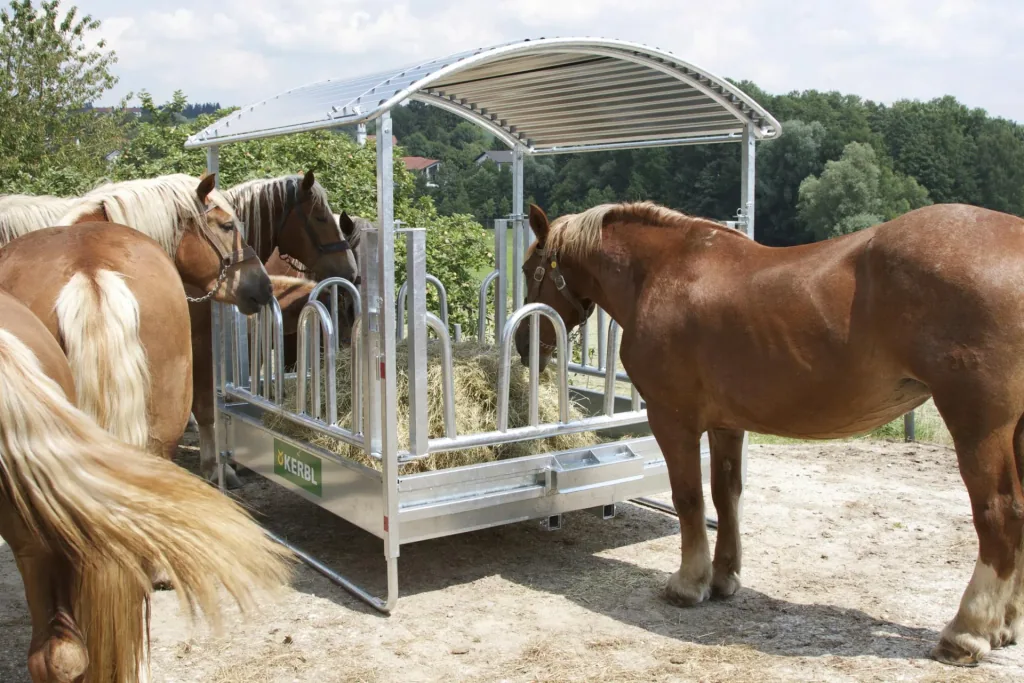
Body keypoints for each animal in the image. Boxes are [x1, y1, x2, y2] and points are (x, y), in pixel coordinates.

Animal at [516, 200, 1024, 667]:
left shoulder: (672, 418)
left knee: (999, 513)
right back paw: (1005, 626)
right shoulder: (726, 422)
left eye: (528, 270)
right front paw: (723, 577)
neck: (661, 273)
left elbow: (689, 498)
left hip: (977, 425)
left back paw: (967, 631)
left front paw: (689, 583)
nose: (524, 347)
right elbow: (726, 495)